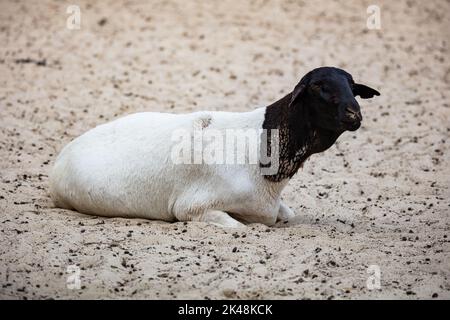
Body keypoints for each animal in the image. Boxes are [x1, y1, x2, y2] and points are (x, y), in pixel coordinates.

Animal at [49, 67, 380, 228]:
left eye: (353, 87)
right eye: (318, 87)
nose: (354, 115)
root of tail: (62, 157)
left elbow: (288, 215)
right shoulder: (192, 208)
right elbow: (238, 227)